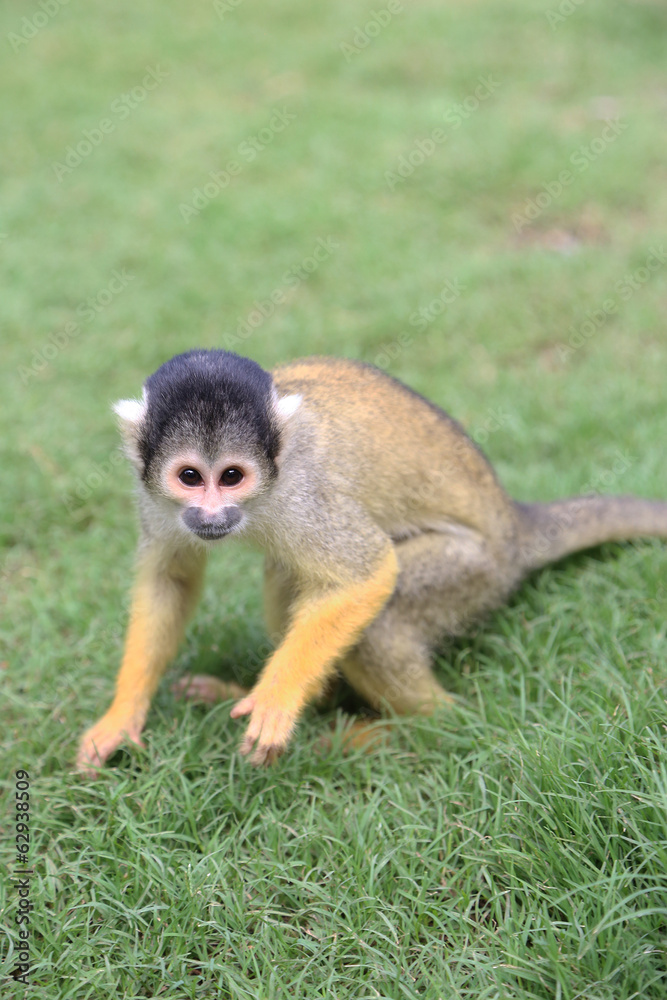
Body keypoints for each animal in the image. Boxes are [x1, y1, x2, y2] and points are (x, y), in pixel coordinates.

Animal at [76, 350, 667, 772]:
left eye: (232, 476)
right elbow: (170, 580)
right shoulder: (152, 497)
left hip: (473, 570)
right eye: (190, 477)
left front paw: (278, 699)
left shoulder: (304, 494)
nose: (211, 514)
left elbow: (367, 573)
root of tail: (513, 525)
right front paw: (121, 717)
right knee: (286, 576)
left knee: (380, 621)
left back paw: (417, 726)